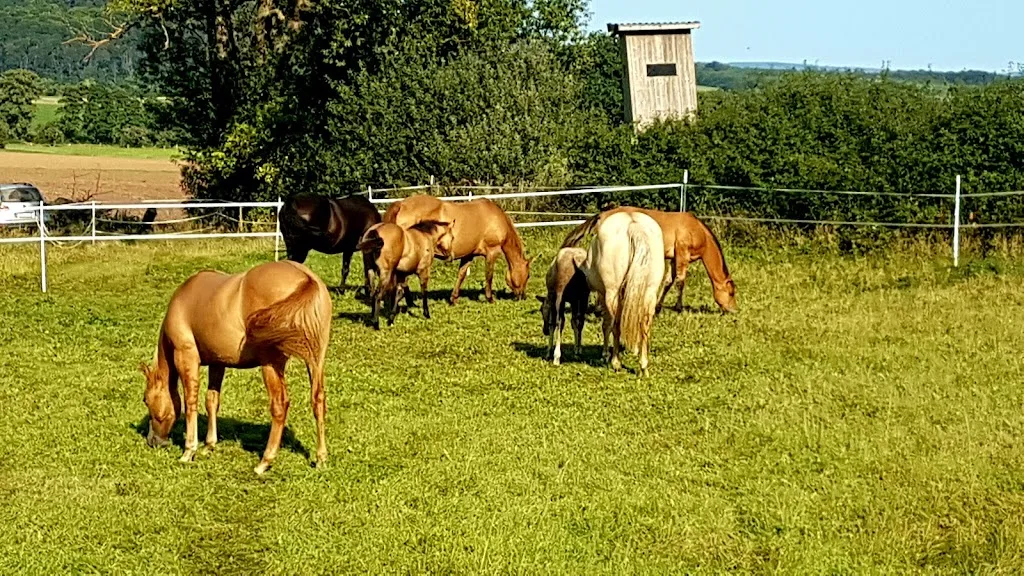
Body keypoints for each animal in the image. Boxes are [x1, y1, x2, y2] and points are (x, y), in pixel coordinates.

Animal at [140, 260, 332, 475]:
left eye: (146, 400)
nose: (153, 441)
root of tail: (306, 279)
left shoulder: (186, 356)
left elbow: (190, 402)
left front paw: (189, 451)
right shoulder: (218, 363)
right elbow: (211, 400)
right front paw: (209, 445)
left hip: (271, 364)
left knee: (279, 405)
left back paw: (264, 462)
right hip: (315, 360)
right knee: (318, 401)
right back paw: (321, 458)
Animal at [382, 195, 536, 304]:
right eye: (528, 275)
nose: (522, 296)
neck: (495, 219)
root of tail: (401, 204)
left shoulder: (468, 255)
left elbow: (461, 275)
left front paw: (454, 299)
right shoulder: (492, 252)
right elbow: (489, 275)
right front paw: (490, 298)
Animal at [562, 207, 737, 314]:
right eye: (731, 293)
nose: (733, 310)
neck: (695, 230)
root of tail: (602, 215)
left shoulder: (673, 258)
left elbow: (668, 282)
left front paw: (658, 307)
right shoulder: (682, 254)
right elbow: (680, 281)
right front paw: (678, 307)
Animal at [581, 211, 665, 377]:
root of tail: (633, 225)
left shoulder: (605, 294)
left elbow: (607, 325)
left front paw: (605, 354)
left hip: (613, 294)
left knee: (616, 325)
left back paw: (616, 362)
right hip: (650, 293)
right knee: (645, 325)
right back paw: (643, 366)